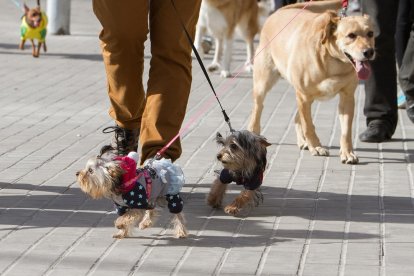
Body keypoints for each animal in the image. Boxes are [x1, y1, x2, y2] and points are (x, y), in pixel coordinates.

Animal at [247, 0, 376, 164]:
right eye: (351, 35)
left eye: (370, 34)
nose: (369, 52)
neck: (332, 60)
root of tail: (279, 11)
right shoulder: (303, 96)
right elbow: (308, 125)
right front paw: (316, 146)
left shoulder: (347, 98)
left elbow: (346, 131)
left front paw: (347, 152)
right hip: (264, 82)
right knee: (258, 108)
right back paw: (254, 131)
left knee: (297, 118)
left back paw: (303, 141)